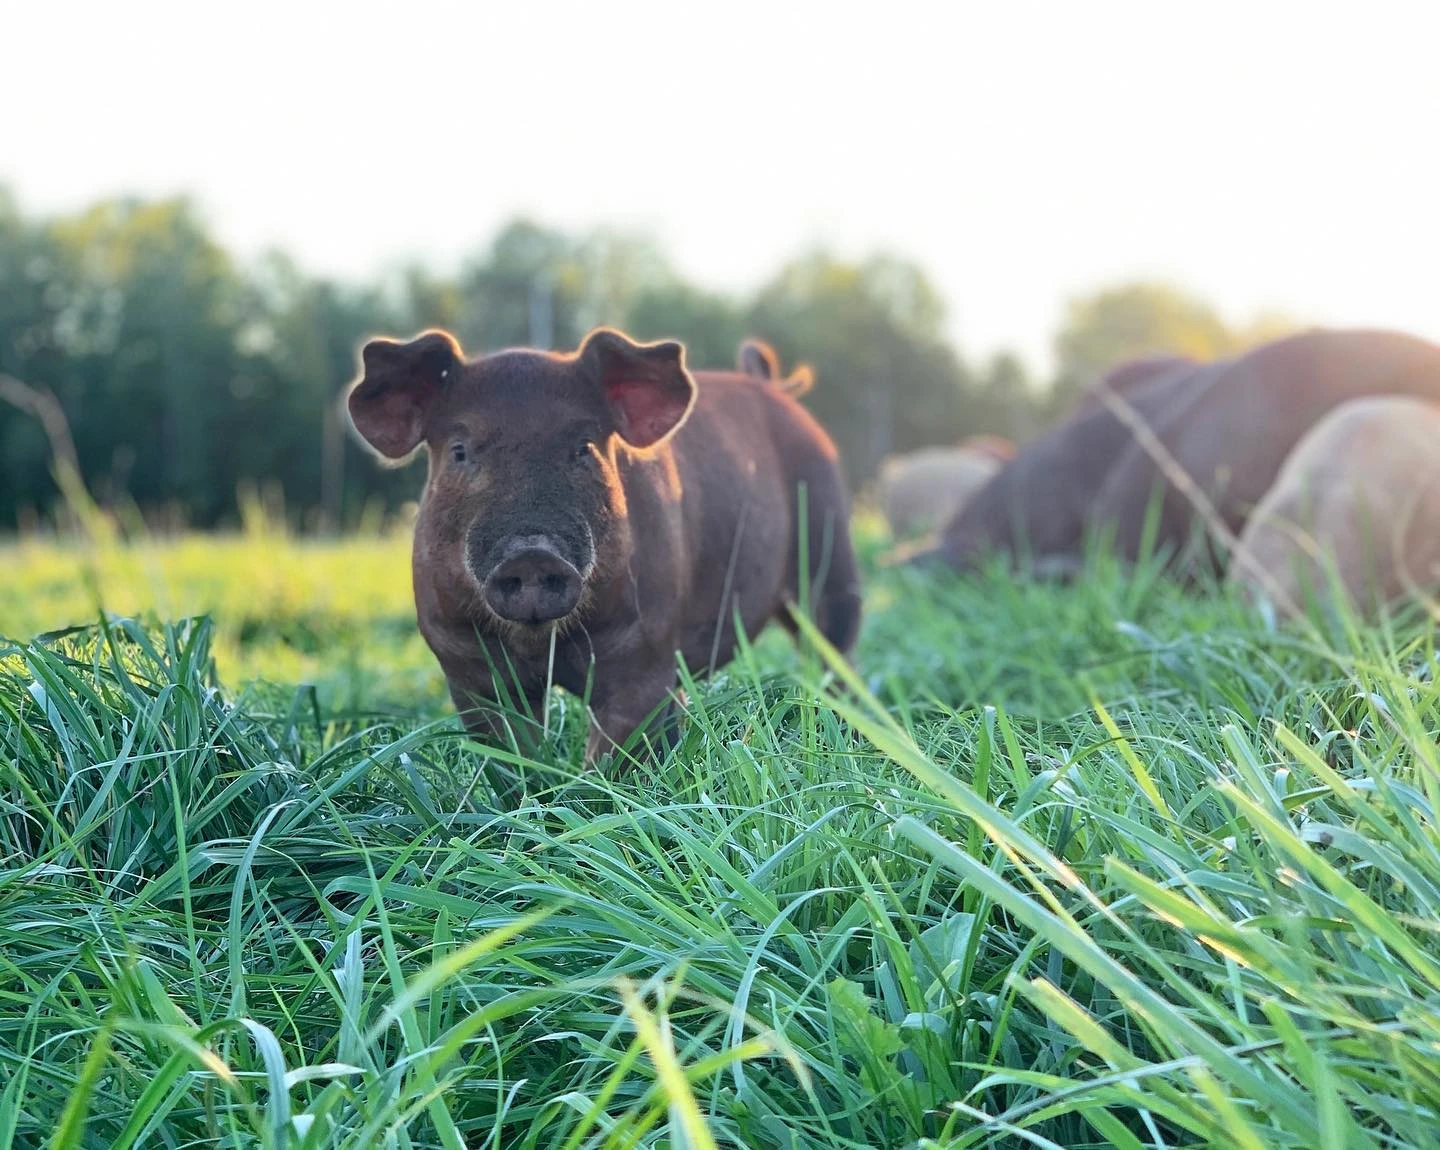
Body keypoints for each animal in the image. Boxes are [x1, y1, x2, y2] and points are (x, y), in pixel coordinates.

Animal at [347, 327, 861, 768]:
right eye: (459, 451)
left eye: (584, 448)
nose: (532, 553)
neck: (544, 644)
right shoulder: (464, 660)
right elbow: (509, 757)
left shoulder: (645, 648)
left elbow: (615, 756)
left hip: (830, 550)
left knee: (835, 650)